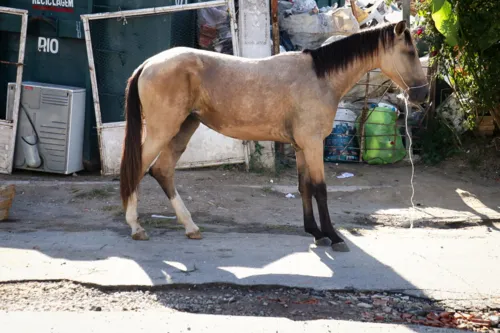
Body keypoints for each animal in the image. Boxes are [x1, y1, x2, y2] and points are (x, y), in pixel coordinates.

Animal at [119, 20, 428, 252]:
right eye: (410, 52)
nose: (423, 95)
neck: (320, 77)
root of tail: (148, 64)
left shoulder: (302, 147)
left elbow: (305, 187)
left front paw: (315, 233)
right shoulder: (312, 144)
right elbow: (320, 189)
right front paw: (333, 236)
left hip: (184, 128)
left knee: (162, 171)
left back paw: (190, 227)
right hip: (162, 130)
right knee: (139, 170)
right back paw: (136, 227)